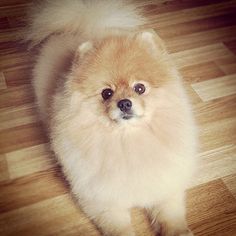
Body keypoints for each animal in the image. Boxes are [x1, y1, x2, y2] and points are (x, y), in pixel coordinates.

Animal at [27, 0, 197, 236]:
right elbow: (119, 227)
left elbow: (170, 214)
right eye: (106, 93)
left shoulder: (164, 184)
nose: (124, 103)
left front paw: (178, 231)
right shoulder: (103, 201)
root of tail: (83, 27)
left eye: (140, 88)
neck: (127, 141)